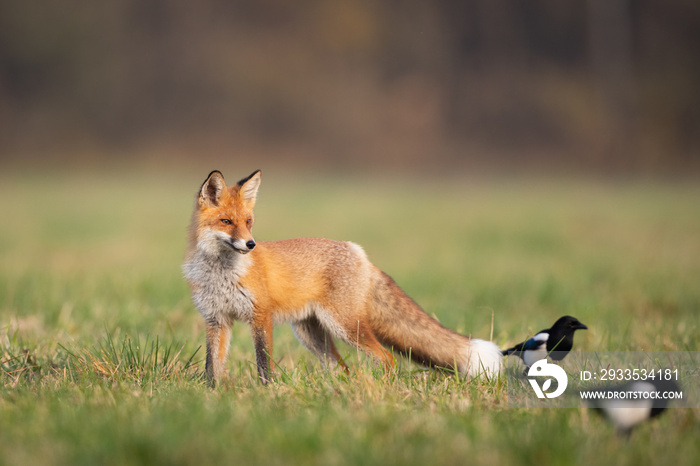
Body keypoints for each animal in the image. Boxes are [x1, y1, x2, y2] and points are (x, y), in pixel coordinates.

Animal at [183, 170, 500, 386]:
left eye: (248, 222)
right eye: (226, 222)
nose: (251, 244)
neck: (221, 273)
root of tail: (358, 252)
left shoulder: (260, 316)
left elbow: (263, 364)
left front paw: (266, 393)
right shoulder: (216, 320)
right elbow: (213, 366)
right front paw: (211, 396)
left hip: (345, 326)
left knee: (386, 359)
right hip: (311, 333)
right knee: (342, 368)